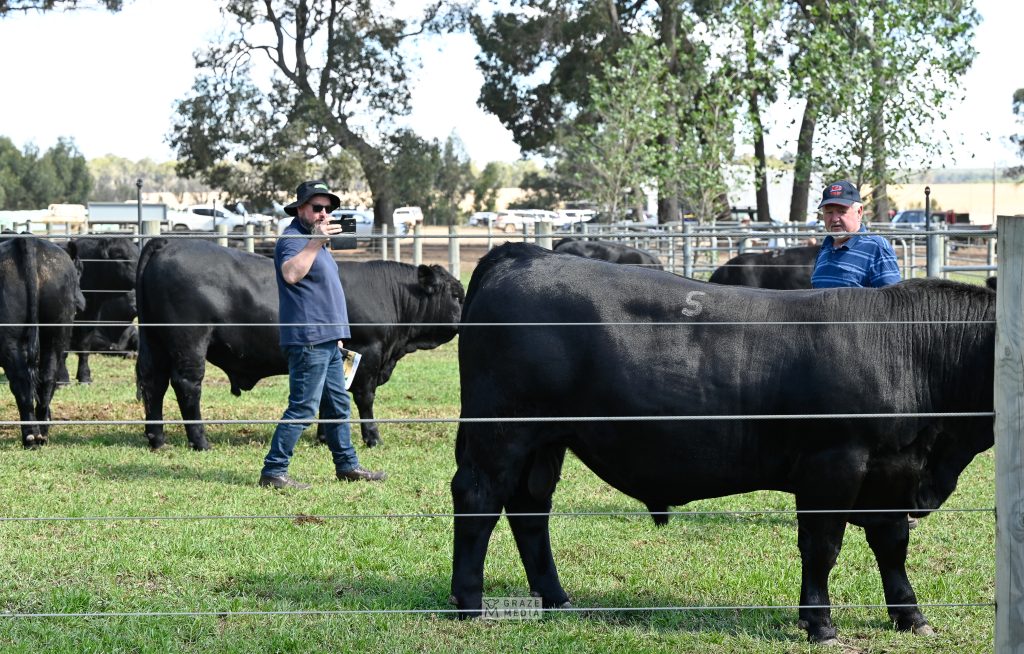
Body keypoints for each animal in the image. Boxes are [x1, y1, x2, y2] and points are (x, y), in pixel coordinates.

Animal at [0, 235, 85, 448]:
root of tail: (26, 240)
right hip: (55, 332)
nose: (82, 303)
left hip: (9, 338)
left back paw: (30, 436)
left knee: (21, 381)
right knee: (46, 378)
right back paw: (42, 433)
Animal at [135, 238, 464, 451]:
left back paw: (157, 440)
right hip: (189, 341)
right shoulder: (368, 353)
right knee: (187, 385)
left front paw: (324, 437)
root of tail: (168, 243)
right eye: (456, 295)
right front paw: (372, 437)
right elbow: (364, 398)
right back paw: (200, 441)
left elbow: (328, 397)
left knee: (155, 383)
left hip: (156, 343)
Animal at [450, 242, 996, 645]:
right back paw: (469, 604)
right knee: (477, 498)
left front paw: (911, 616)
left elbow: (892, 544)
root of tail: (524, 254)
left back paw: (556, 597)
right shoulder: (833, 464)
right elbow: (822, 546)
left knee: (529, 508)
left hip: (546, 440)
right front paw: (820, 623)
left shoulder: (893, 470)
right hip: (501, 430)